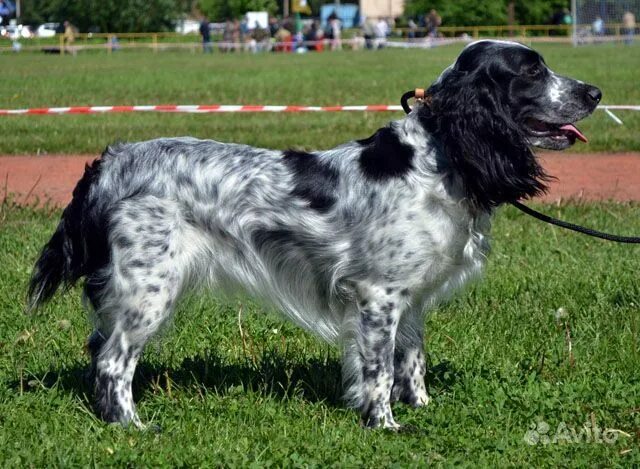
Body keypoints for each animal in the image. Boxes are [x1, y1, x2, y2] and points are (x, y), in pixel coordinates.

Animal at [28, 40, 600, 428]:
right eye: (532, 70)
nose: (595, 91)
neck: (439, 155)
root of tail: (110, 163)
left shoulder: (410, 298)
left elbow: (411, 359)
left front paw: (422, 407)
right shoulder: (377, 295)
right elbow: (379, 369)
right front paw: (384, 424)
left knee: (99, 348)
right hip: (148, 289)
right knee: (113, 360)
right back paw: (132, 426)